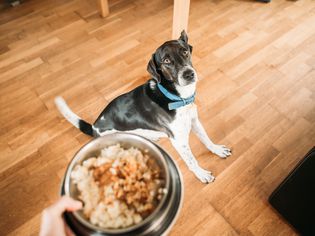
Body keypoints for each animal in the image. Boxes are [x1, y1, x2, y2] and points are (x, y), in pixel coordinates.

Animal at [55, 30, 232, 183]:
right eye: (166, 61)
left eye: (184, 51)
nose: (188, 74)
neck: (176, 96)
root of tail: (94, 127)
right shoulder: (179, 140)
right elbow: (191, 160)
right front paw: (201, 174)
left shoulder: (194, 121)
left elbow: (206, 139)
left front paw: (217, 150)